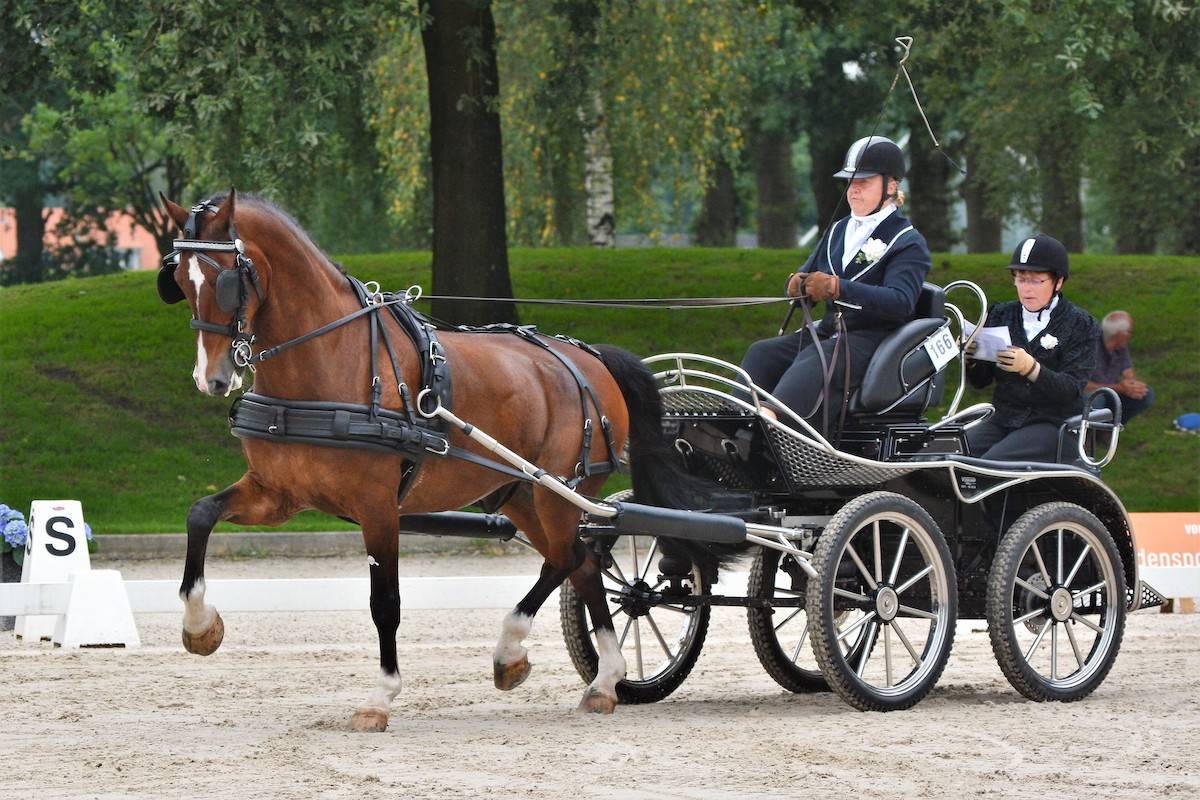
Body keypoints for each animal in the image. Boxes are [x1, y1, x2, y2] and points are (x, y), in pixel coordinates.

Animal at [156, 190, 703, 731]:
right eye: (178, 281)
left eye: (227, 281)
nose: (211, 378)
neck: (331, 358)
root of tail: (590, 357)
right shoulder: (278, 493)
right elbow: (200, 514)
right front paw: (200, 627)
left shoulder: (377, 506)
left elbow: (385, 602)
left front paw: (380, 697)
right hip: (522, 494)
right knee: (582, 564)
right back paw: (601, 679)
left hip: (559, 492)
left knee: (569, 559)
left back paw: (525, 653)